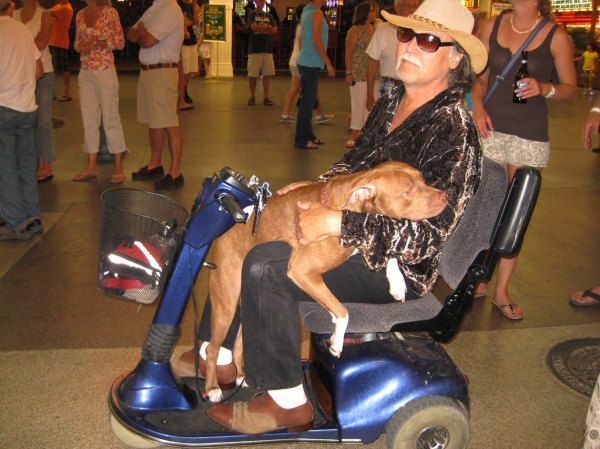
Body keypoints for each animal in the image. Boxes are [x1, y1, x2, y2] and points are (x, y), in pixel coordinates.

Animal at [202, 160, 446, 400]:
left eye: (423, 179)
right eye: (408, 190)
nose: (445, 196)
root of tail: (222, 234)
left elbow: (388, 248)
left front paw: (397, 281)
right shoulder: (302, 271)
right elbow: (342, 311)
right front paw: (337, 341)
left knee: (239, 341)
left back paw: (241, 375)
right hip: (226, 303)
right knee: (212, 348)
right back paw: (212, 387)